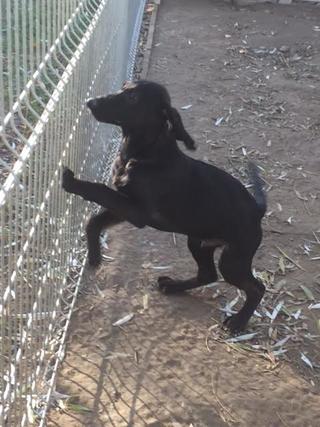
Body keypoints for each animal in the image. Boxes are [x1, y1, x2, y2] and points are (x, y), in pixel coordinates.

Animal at [62, 81, 264, 334]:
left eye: (133, 98)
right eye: (122, 88)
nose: (91, 102)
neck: (142, 152)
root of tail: (258, 210)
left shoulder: (138, 212)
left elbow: (99, 190)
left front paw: (72, 182)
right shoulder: (125, 206)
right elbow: (94, 221)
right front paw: (94, 255)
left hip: (233, 259)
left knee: (257, 288)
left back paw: (238, 321)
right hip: (198, 242)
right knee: (207, 274)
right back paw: (174, 286)